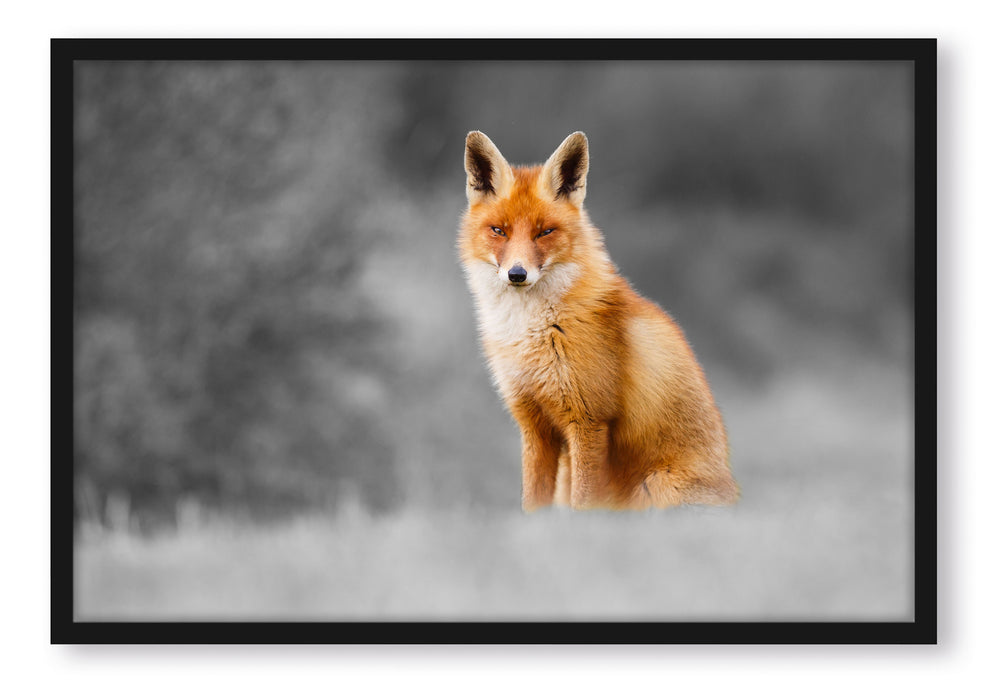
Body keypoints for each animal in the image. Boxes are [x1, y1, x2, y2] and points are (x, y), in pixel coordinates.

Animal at [459, 131, 739, 512]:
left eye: (545, 232)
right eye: (499, 231)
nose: (517, 274)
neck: (532, 331)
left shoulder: (589, 420)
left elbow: (584, 505)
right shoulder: (534, 425)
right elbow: (532, 504)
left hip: (655, 487)